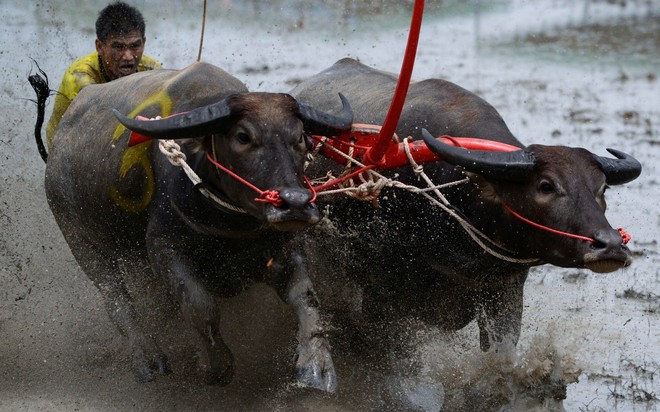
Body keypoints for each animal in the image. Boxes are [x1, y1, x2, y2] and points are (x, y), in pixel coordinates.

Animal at [32, 62, 350, 392]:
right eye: (243, 136)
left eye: (299, 137)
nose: (295, 203)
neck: (230, 224)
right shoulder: (164, 250)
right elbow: (201, 306)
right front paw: (215, 366)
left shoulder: (283, 247)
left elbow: (306, 297)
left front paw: (317, 366)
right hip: (82, 243)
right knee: (118, 301)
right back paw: (148, 359)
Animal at [288, 57, 640, 406]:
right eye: (546, 186)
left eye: (602, 188)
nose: (610, 246)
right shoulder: (381, 303)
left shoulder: (504, 291)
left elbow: (501, 356)